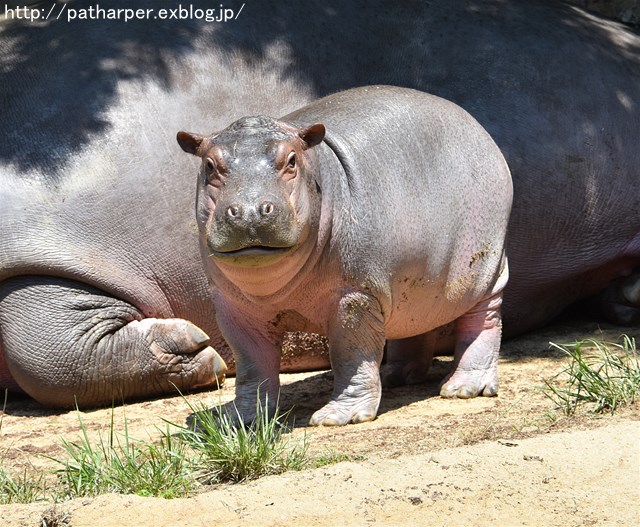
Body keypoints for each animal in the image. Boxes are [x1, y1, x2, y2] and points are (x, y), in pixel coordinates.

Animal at [178, 84, 512, 426]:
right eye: (209, 166)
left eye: (292, 160)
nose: (247, 211)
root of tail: (476, 125)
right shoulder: (235, 309)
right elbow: (252, 364)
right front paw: (235, 419)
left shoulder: (355, 297)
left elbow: (351, 354)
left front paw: (339, 417)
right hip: (413, 279)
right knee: (414, 322)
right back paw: (395, 376)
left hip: (484, 269)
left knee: (484, 318)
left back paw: (464, 387)